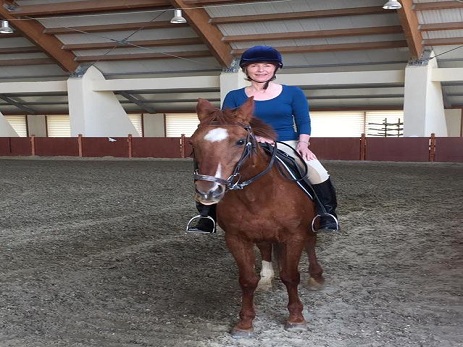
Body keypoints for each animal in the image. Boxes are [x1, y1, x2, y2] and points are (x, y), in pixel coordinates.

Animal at [190, 97, 324, 338]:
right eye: (192, 143)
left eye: (240, 141)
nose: (208, 192)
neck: (257, 194)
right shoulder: (236, 238)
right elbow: (246, 280)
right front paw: (245, 322)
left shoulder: (294, 236)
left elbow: (291, 275)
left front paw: (296, 318)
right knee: (265, 248)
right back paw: (266, 278)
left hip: (311, 225)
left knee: (311, 243)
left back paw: (316, 276)